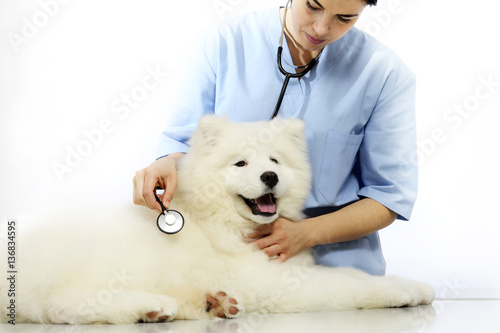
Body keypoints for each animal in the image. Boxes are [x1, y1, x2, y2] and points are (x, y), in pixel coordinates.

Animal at [0, 115, 434, 322]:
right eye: (240, 163)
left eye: (275, 160)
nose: (270, 177)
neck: (224, 223)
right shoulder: (276, 284)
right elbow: (351, 283)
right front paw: (408, 288)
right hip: (98, 257)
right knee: (61, 306)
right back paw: (151, 306)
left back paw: (208, 304)